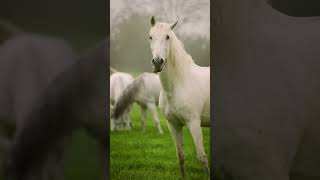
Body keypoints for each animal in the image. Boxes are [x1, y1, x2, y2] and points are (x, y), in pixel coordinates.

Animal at [149, 16, 211, 177]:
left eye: (167, 37)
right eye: (150, 37)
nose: (157, 62)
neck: (180, 83)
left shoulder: (194, 123)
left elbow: (202, 157)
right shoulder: (173, 125)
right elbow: (181, 156)